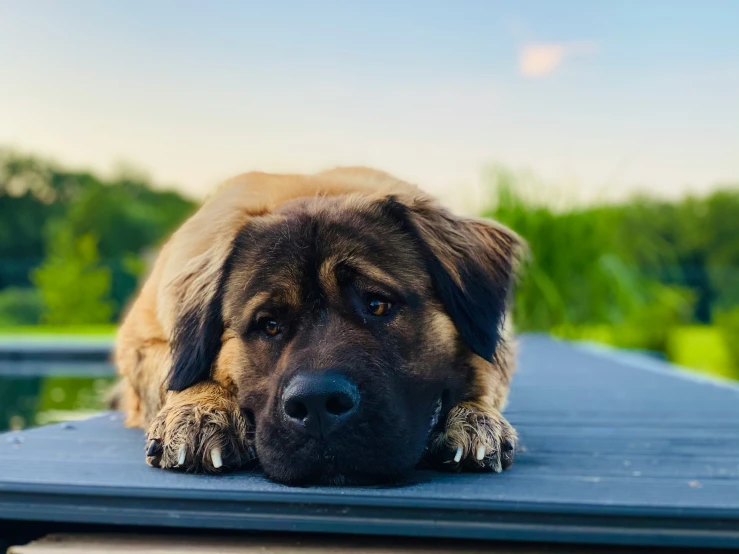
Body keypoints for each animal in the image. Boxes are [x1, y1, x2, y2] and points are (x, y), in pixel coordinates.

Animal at [112, 167, 524, 484]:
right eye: (269, 324)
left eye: (377, 305)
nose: (318, 404)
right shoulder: (143, 343)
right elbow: (175, 375)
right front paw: (201, 409)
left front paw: (474, 416)